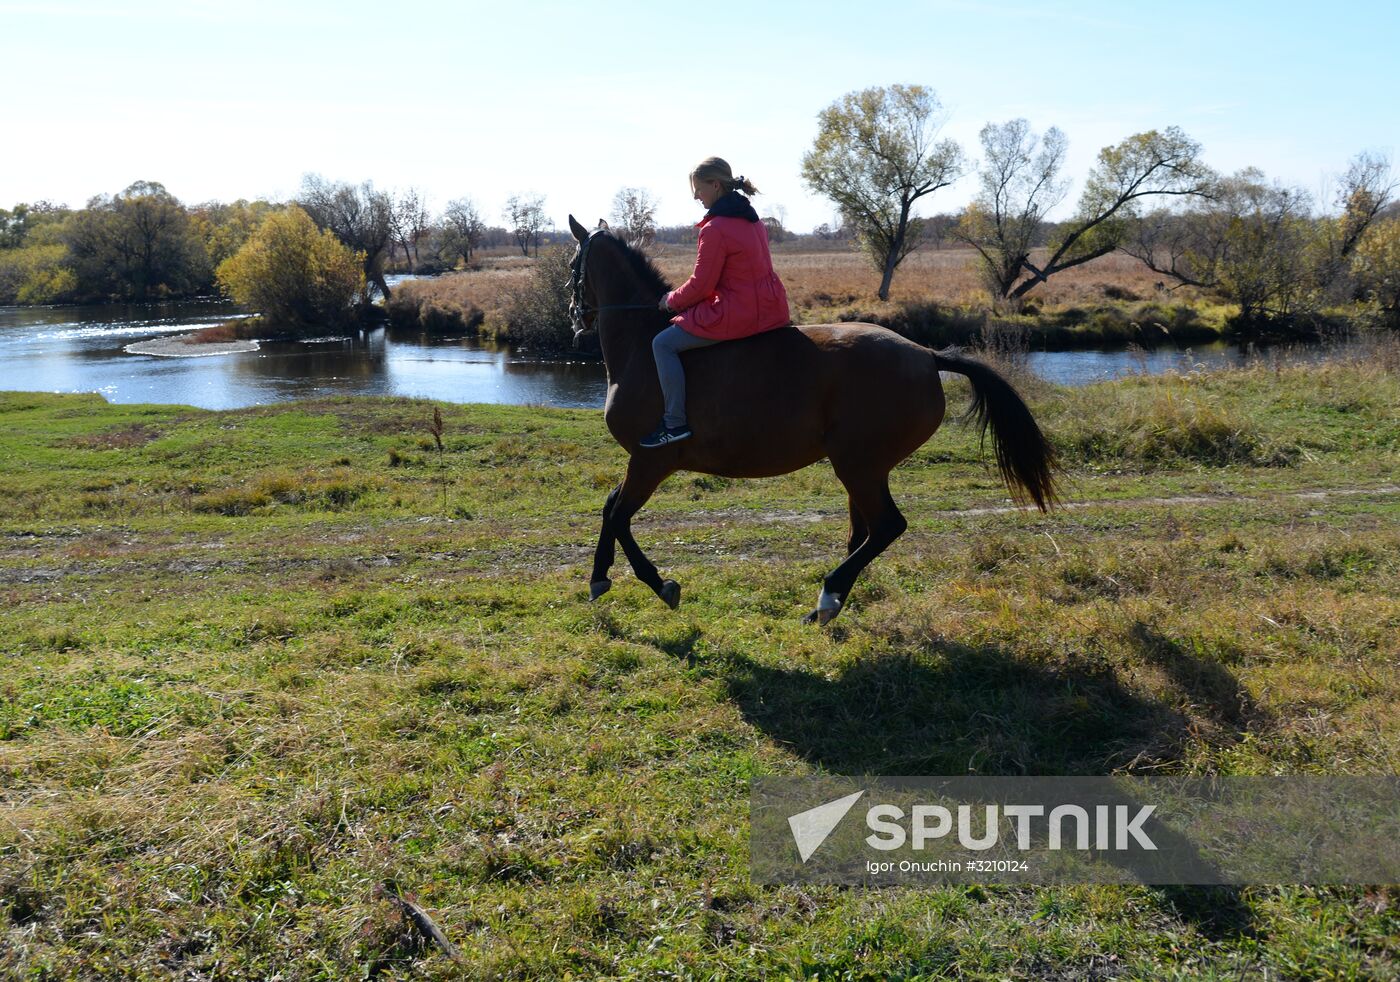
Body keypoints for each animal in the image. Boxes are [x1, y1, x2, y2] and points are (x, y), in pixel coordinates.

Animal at [567, 215, 1058, 625]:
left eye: (573, 264)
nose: (575, 319)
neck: (643, 344)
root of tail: (926, 354)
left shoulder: (650, 461)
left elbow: (619, 515)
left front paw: (657, 584)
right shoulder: (642, 463)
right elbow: (611, 507)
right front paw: (600, 577)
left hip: (858, 465)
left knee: (886, 527)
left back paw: (827, 596)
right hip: (863, 469)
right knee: (864, 534)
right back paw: (828, 605)